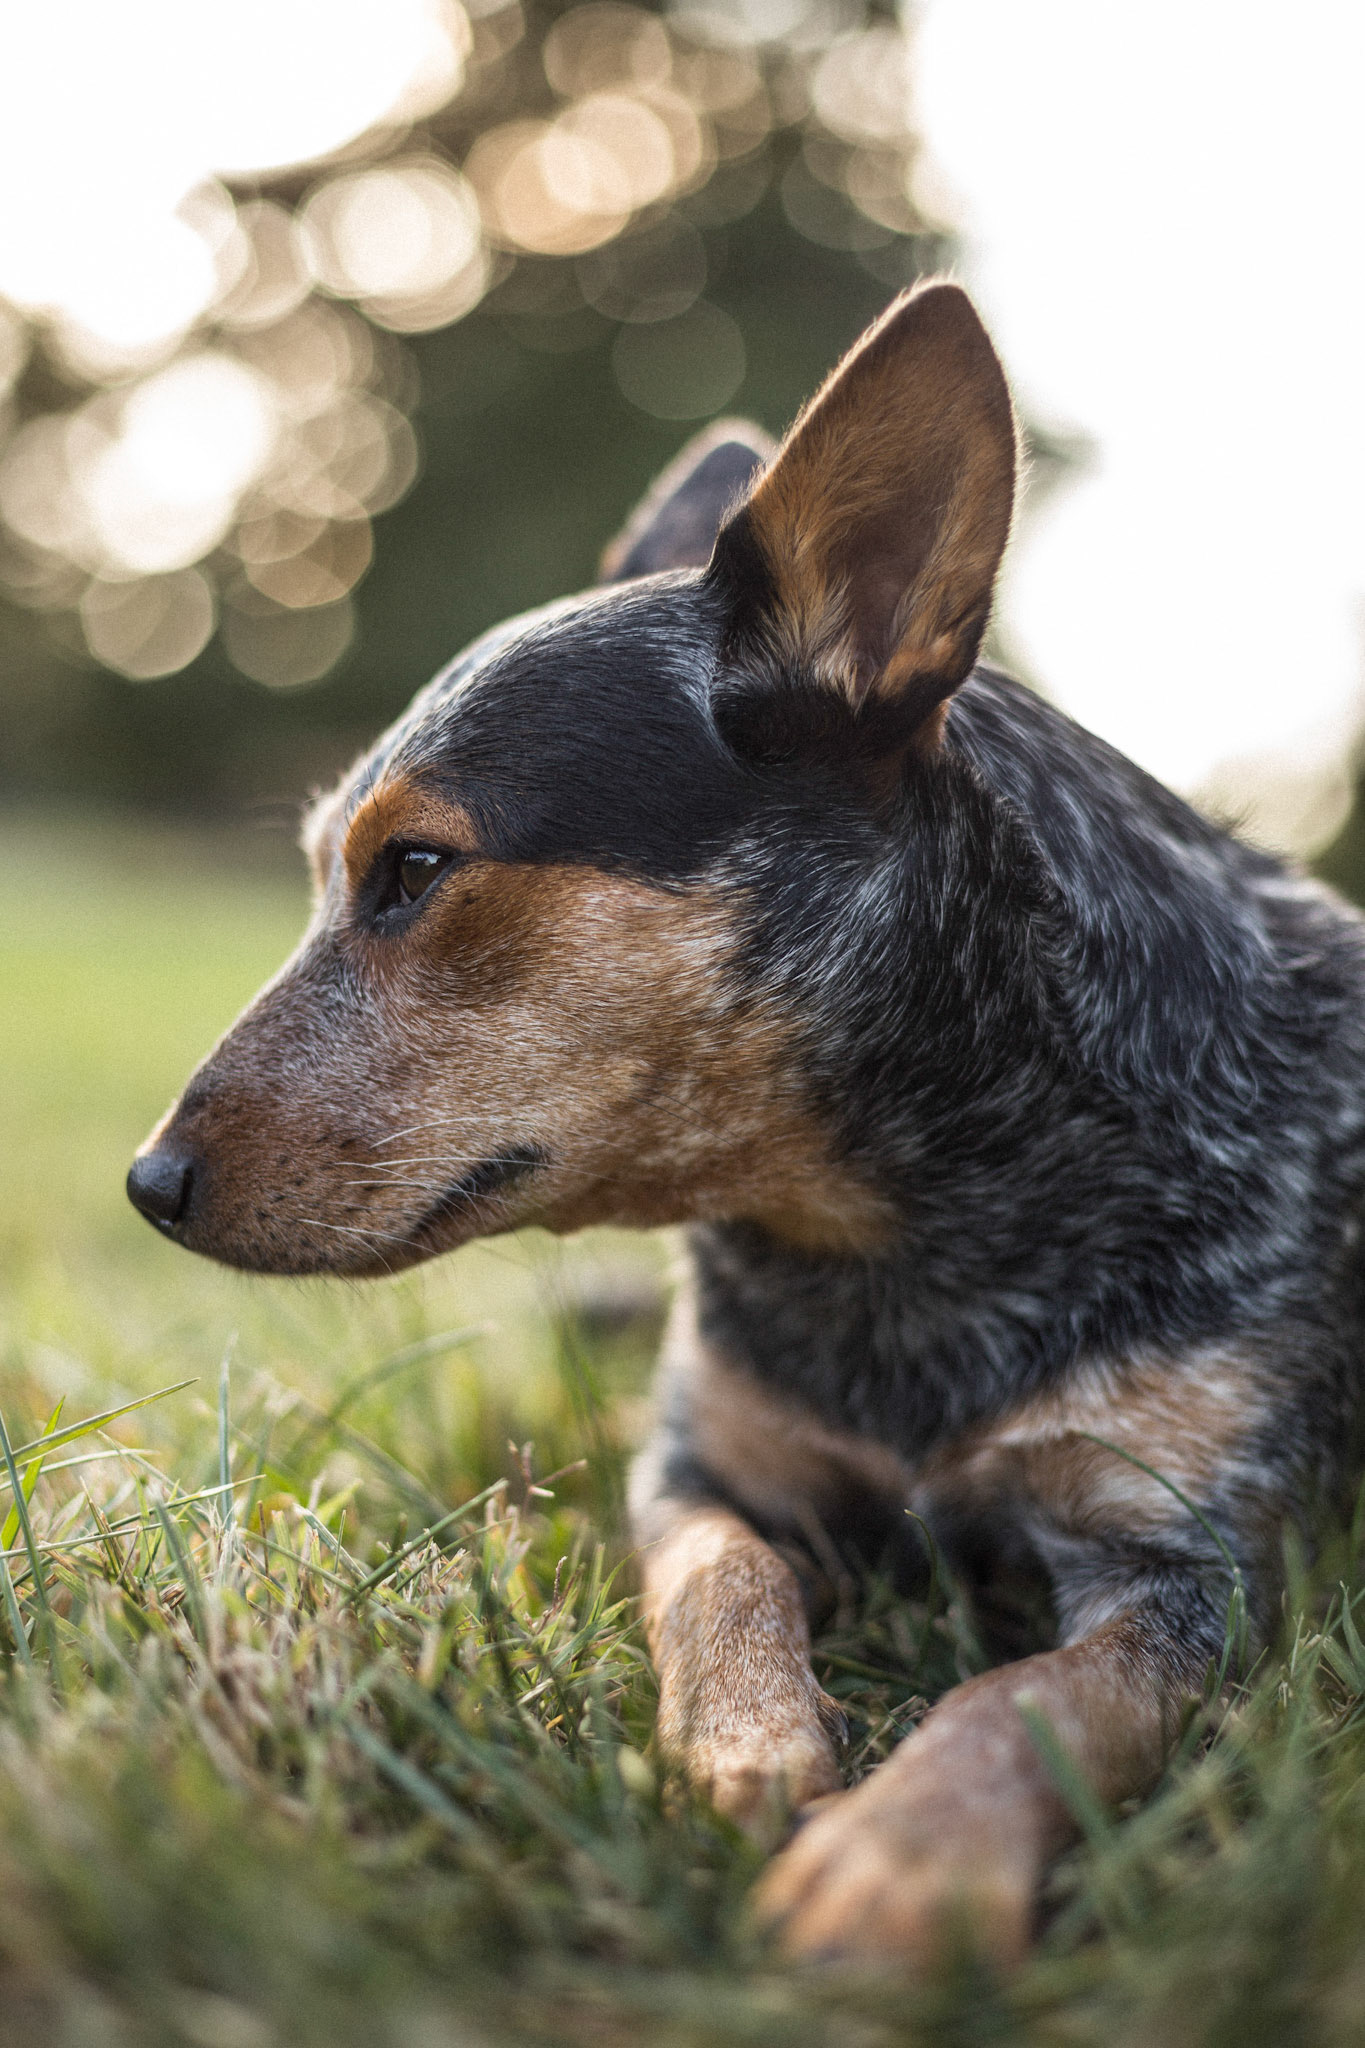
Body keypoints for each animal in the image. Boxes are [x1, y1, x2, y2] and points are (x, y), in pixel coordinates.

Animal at [127, 283, 1365, 1968]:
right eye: (330, 867)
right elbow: (725, 1579)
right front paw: (748, 1744)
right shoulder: (697, 1470)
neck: (886, 1248)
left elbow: (1031, 1693)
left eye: (416, 870)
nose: (149, 1181)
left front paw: (901, 1852)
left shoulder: (1192, 1564)